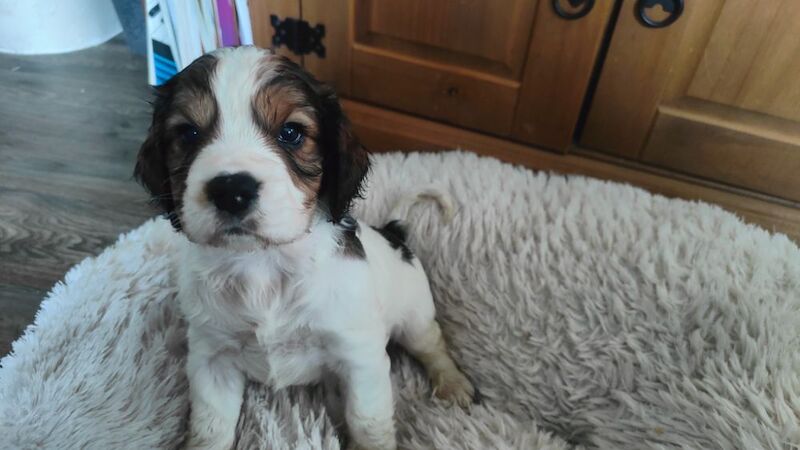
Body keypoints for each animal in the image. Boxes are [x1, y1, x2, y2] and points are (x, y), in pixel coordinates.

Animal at [134, 46, 472, 450]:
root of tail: (395, 235)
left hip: (414, 315)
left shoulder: (359, 356)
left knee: (432, 343)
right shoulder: (211, 358)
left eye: (291, 132)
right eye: (188, 133)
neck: (263, 264)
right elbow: (210, 427)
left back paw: (453, 382)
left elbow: (368, 422)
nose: (231, 191)